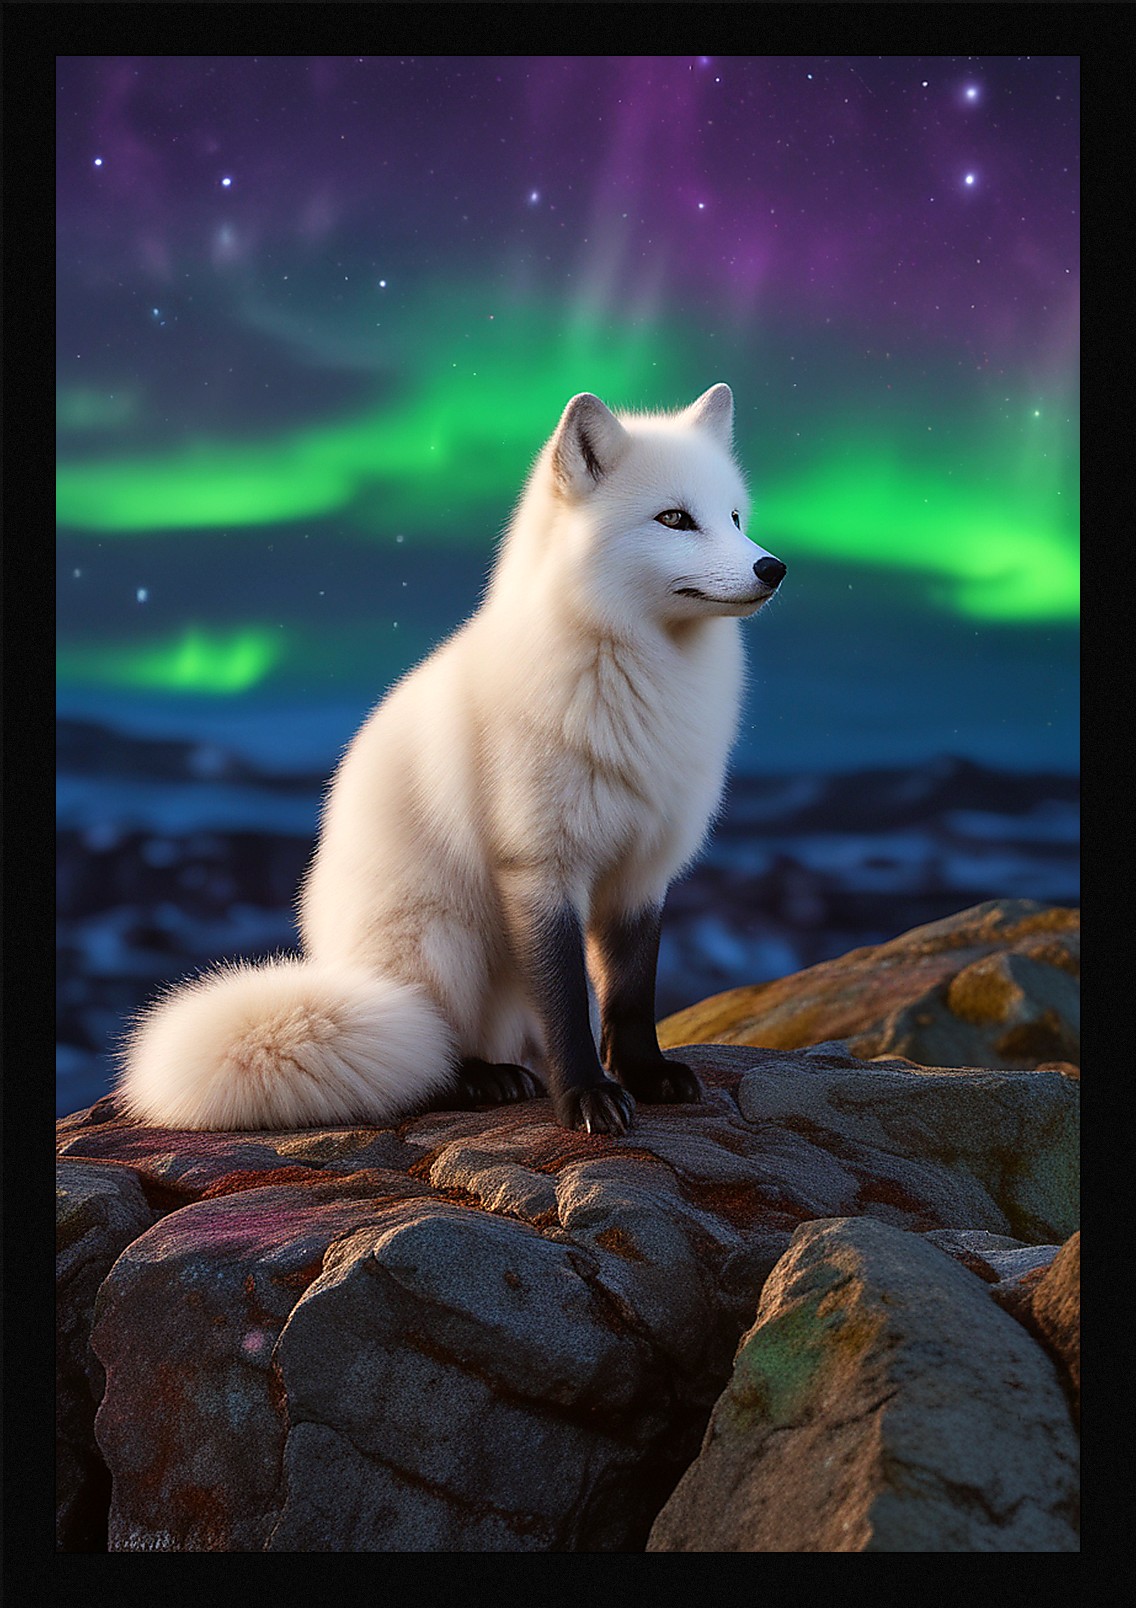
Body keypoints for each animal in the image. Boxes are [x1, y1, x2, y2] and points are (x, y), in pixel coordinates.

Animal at [118, 383, 786, 1136]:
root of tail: (338, 968)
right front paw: (585, 1095)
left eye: (735, 517)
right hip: (443, 943)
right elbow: (566, 1001)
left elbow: (631, 996)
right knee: (428, 1052)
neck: (641, 677)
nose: (774, 567)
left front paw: (645, 1076)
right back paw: (478, 1078)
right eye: (675, 519)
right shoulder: (537, 867)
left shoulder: (643, 869)